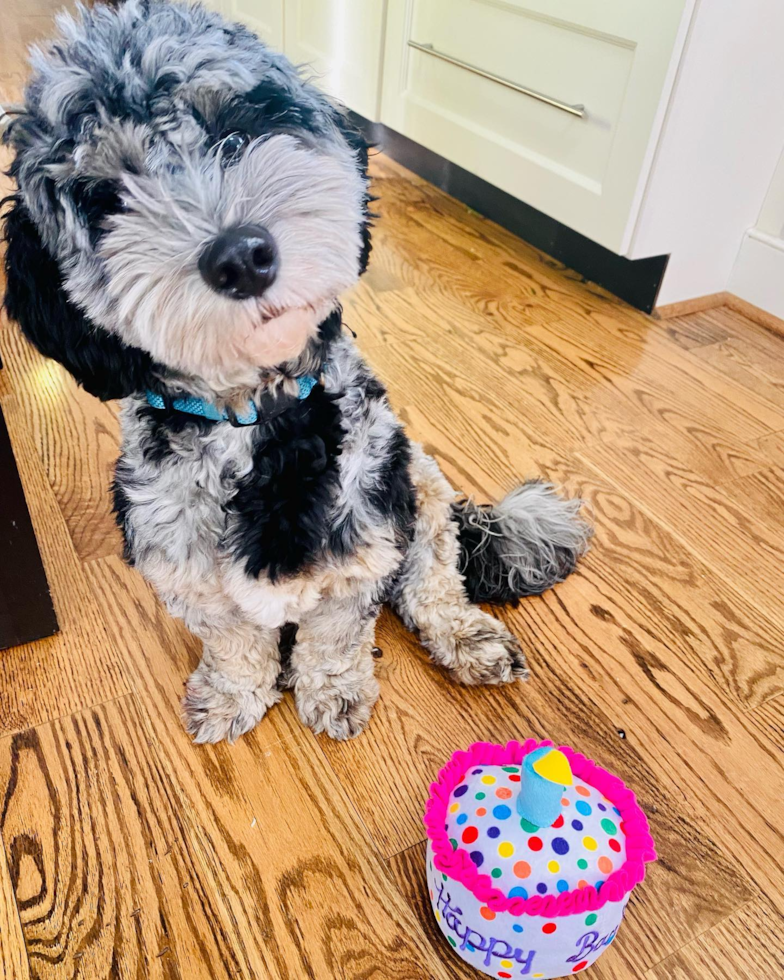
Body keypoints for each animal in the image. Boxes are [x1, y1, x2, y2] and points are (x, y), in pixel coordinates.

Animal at [0, 0, 588, 744]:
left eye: (234, 133)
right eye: (106, 199)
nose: (241, 256)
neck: (259, 422)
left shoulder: (359, 550)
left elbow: (335, 636)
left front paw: (333, 691)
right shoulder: (190, 572)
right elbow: (235, 644)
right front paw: (233, 696)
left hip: (421, 485)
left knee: (432, 578)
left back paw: (464, 636)